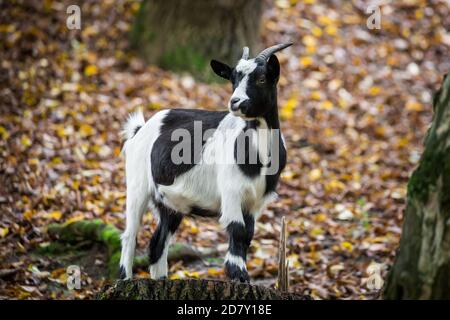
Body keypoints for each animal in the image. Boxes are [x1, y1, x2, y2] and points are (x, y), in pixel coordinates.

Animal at [118, 43, 292, 282]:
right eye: (233, 79)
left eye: (262, 78)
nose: (235, 102)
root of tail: (139, 129)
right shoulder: (231, 191)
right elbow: (237, 229)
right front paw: (238, 274)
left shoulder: (256, 201)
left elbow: (248, 234)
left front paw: (241, 275)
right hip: (137, 185)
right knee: (130, 235)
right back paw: (124, 278)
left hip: (169, 203)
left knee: (157, 242)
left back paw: (161, 279)